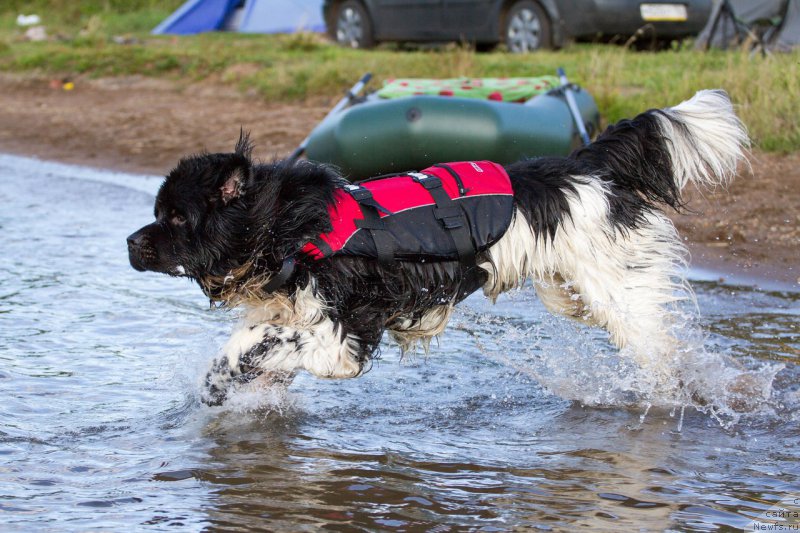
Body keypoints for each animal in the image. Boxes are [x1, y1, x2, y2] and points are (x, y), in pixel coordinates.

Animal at [126, 90, 752, 404]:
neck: (284, 227)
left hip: (620, 290)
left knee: (665, 353)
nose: (130, 242)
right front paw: (223, 381)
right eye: (157, 213)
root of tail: (584, 166)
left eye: (175, 216)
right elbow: (249, 342)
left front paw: (235, 375)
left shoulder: (345, 335)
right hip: (569, 291)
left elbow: (282, 347)